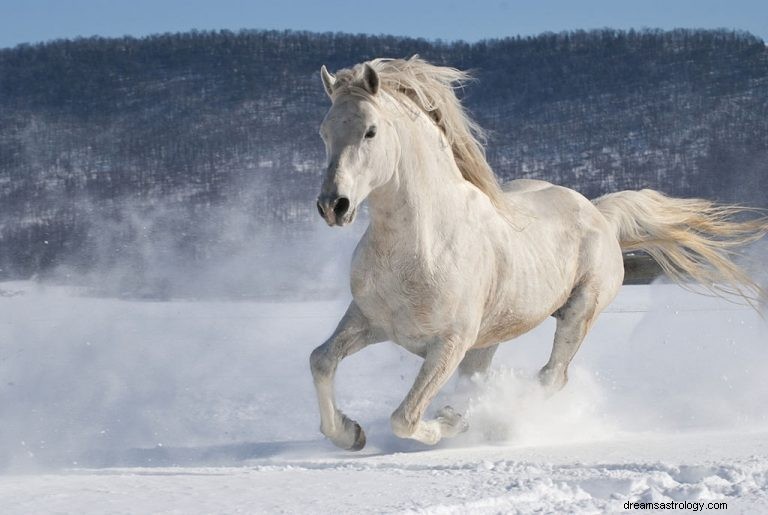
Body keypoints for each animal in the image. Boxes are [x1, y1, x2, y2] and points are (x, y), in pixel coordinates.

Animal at [308, 57, 764, 452]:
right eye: (324, 131)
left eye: (370, 131)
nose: (334, 206)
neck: (422, 245)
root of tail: (598, 213)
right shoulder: (368, 321)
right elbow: (321, 360)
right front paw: (350, 433)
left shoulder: (450, 343)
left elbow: (405, 417)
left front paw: (451, 423)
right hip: (489, 338)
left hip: (579, 311)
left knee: (551, 377)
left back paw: (500, 422)